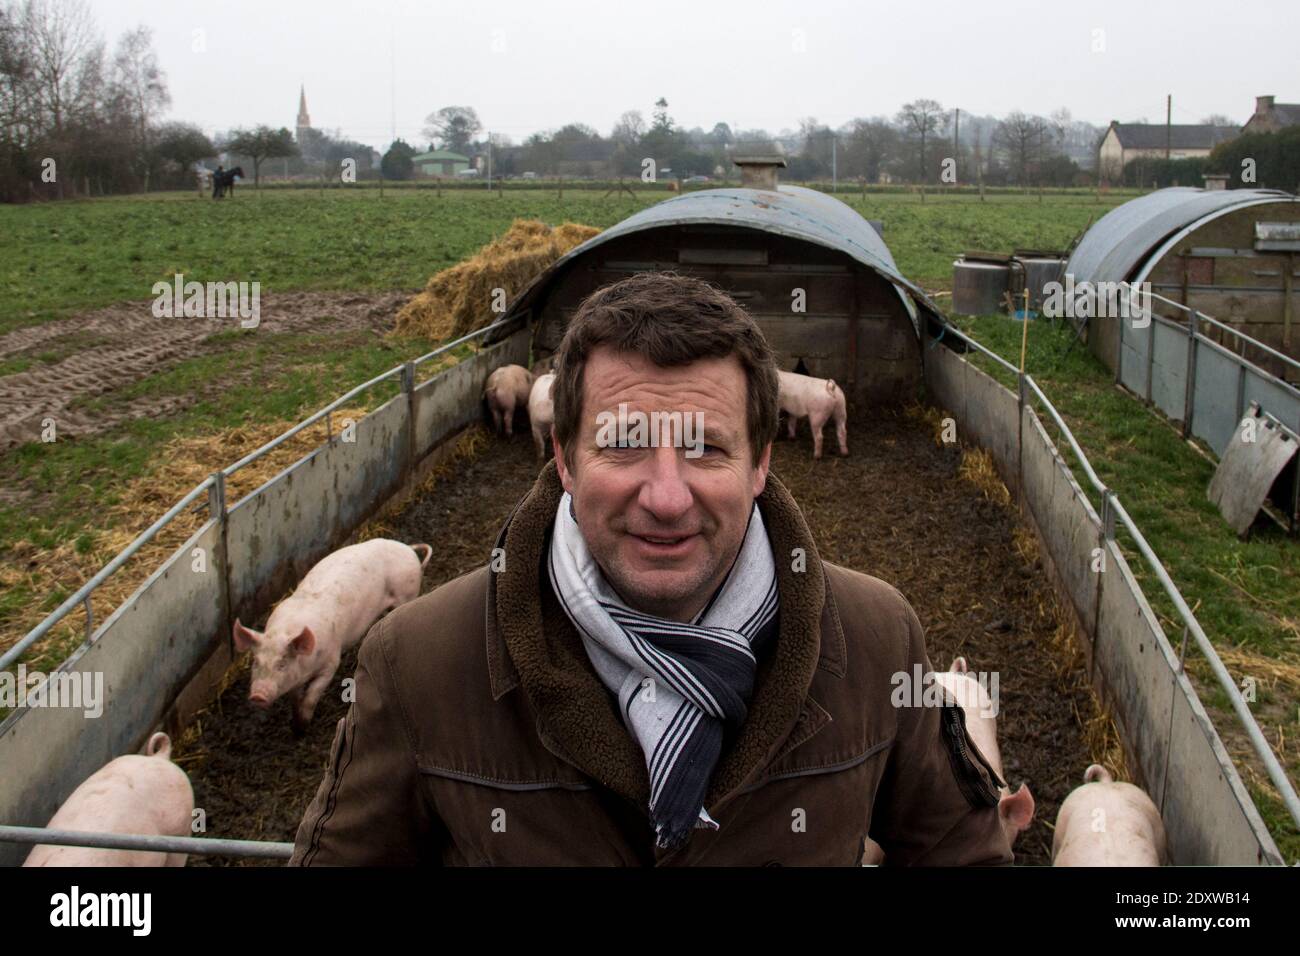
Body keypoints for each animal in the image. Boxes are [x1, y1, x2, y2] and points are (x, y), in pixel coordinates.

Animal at [233, 538, 431, 733]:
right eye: (256, 662)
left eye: (281, 664)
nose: (257, 695)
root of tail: (407, 549)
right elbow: (296, 698)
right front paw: (295, 727)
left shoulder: (331, 662)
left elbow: (311, 696)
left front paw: (303, 727)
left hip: (407, 592)